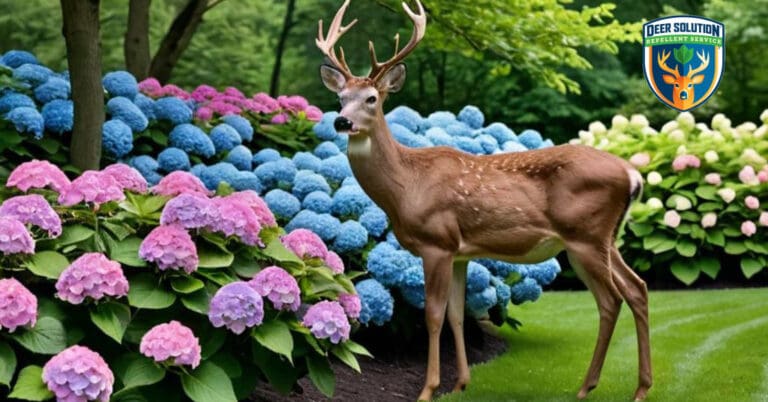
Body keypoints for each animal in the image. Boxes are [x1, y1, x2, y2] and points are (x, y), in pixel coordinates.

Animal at [316, 1, 651, 400]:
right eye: (340, 98)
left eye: (371, 98)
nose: (341, 122)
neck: (406, 186)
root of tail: (632, 174)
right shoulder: (461, 251)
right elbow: (457, 314)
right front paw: (461, 382)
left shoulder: (437, 242)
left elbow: (433, 315)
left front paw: (428, 389)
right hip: (605, 238)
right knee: (637, 289)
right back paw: (639, 388)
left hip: (585, 236)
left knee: (611, 299)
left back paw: (588, 386)